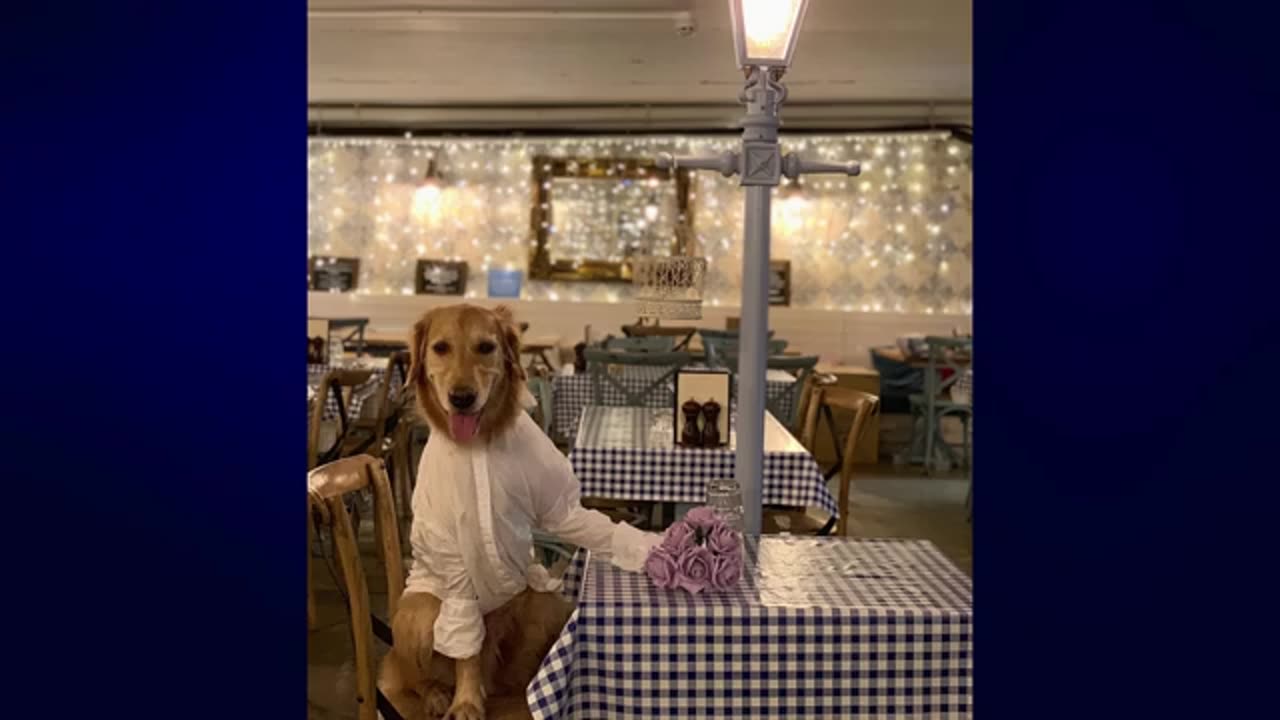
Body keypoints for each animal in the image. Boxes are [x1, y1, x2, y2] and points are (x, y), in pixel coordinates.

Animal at [378, 303, 576, 717]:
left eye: (486, 347)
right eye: (440, 348)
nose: (462, 397)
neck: (477, 447)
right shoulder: (454, 566)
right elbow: (466, 651)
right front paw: (466, 702)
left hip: (540, 603)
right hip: (417, 610)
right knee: (416, 676)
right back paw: (438, 694)